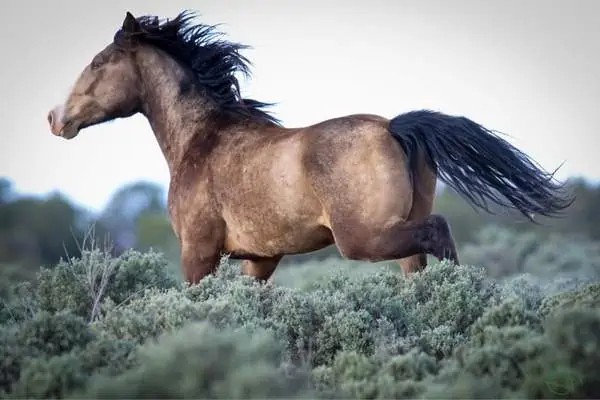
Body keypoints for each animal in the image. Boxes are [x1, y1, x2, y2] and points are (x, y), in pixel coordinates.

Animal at [45, 10, 572, 282]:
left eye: (99, 62)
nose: (56, 119)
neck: (202, 139)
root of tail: (393, 128)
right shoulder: (260, 259)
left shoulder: (199, 252)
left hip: (362, 238)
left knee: (439, 232)